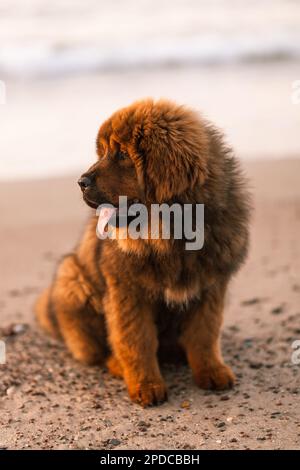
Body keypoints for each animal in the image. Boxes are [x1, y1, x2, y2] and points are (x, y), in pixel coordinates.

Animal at [35, 97, 251, 406]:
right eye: (103, 152)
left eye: (122, 154)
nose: (81, 181)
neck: (170, 234)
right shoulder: (128, 292)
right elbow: (136, 340)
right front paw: (146, 385)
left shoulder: (211, 286)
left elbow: (204, 334)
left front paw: (211, 371)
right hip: (72, 278)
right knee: (98, 351)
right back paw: (117, 364)